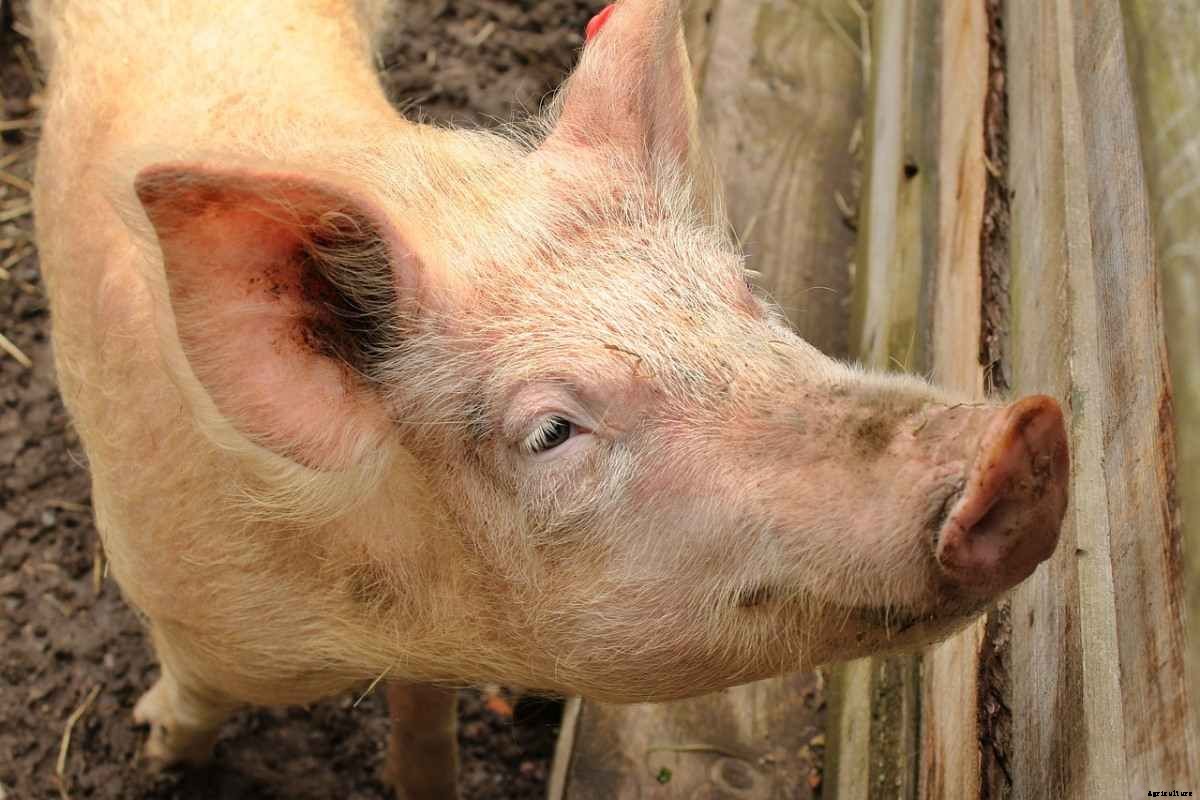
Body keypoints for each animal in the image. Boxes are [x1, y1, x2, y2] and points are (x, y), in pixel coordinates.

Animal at [30, 0, 1069, 796]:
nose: (1024, 429)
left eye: (739, 296)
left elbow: (427, 723)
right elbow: (195, 693)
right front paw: (158, 752)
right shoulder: (172, 594)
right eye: (553, 432)